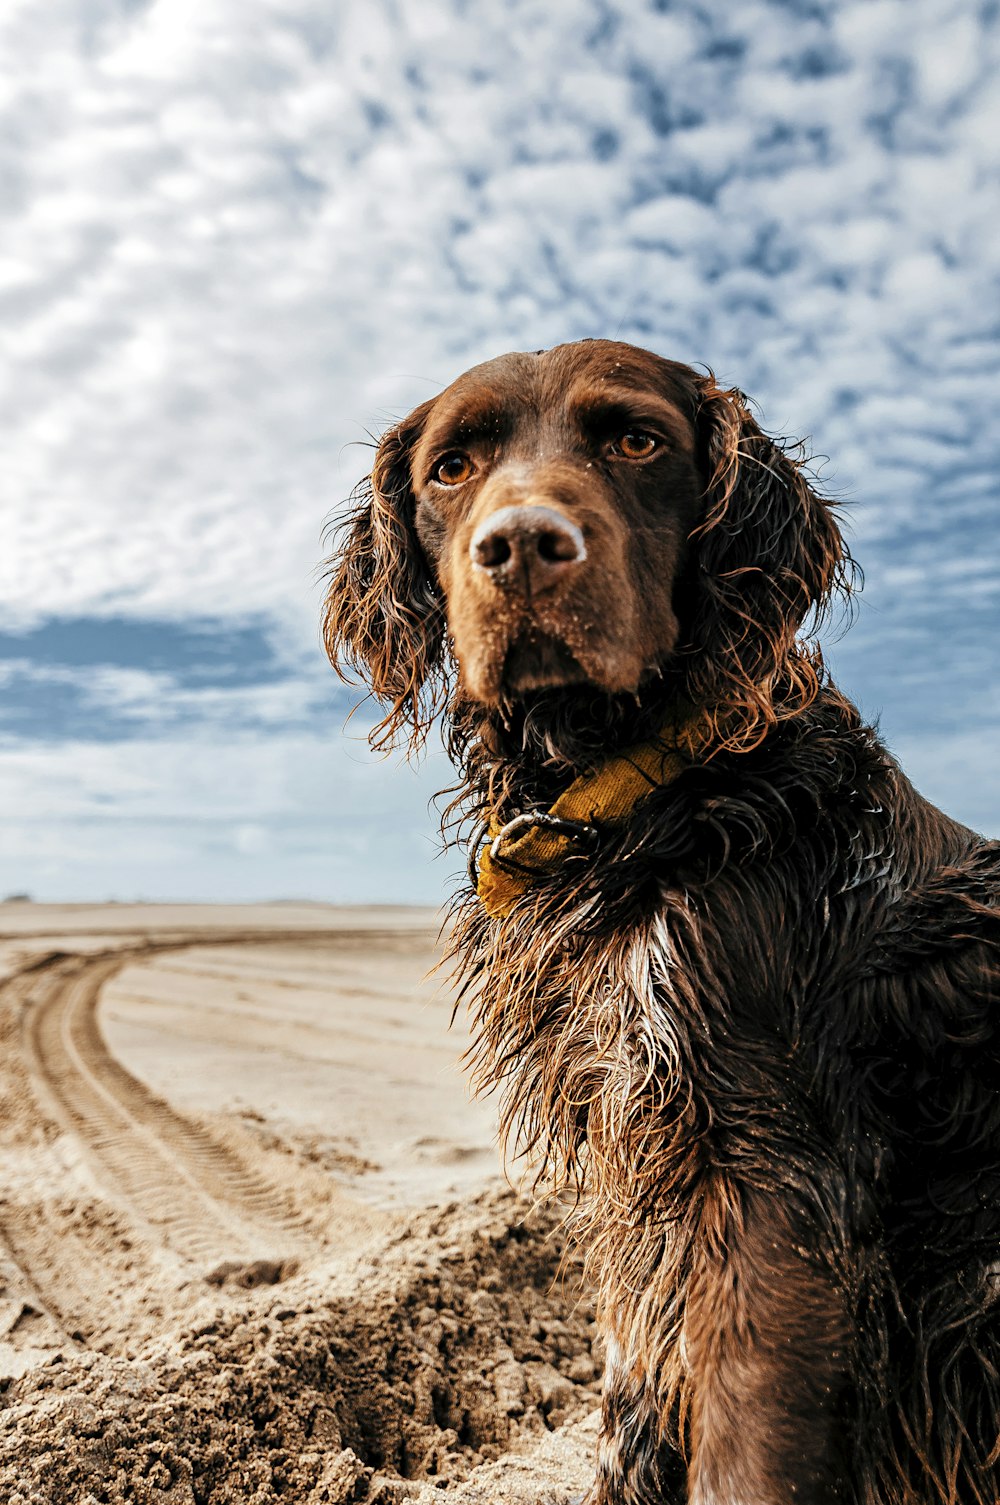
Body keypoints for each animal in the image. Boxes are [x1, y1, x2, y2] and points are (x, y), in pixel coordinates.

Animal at [326, 341, 1000, 1505]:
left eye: (636, 440)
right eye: (452, 466)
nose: (523, 547)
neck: (653, 793)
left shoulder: (766, 1176)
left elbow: (741, 1446)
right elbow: (635, 1400)